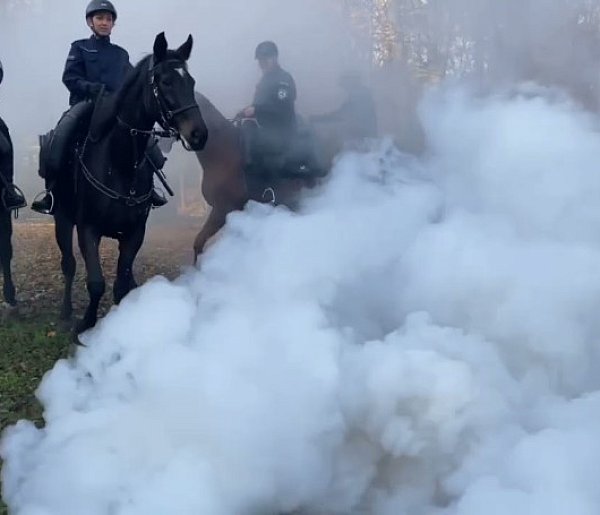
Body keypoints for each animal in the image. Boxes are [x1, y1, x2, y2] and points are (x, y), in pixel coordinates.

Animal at [54, 33, 209, 334]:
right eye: (165, 81)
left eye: (192, 81)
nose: (199, 134)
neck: (119, 163)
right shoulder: (87, 228)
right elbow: (96, 283)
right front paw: (86, 325)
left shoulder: (135, 232)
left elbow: (121, 284)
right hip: (61, 219)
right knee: (68, 264)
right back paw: (65, 310)